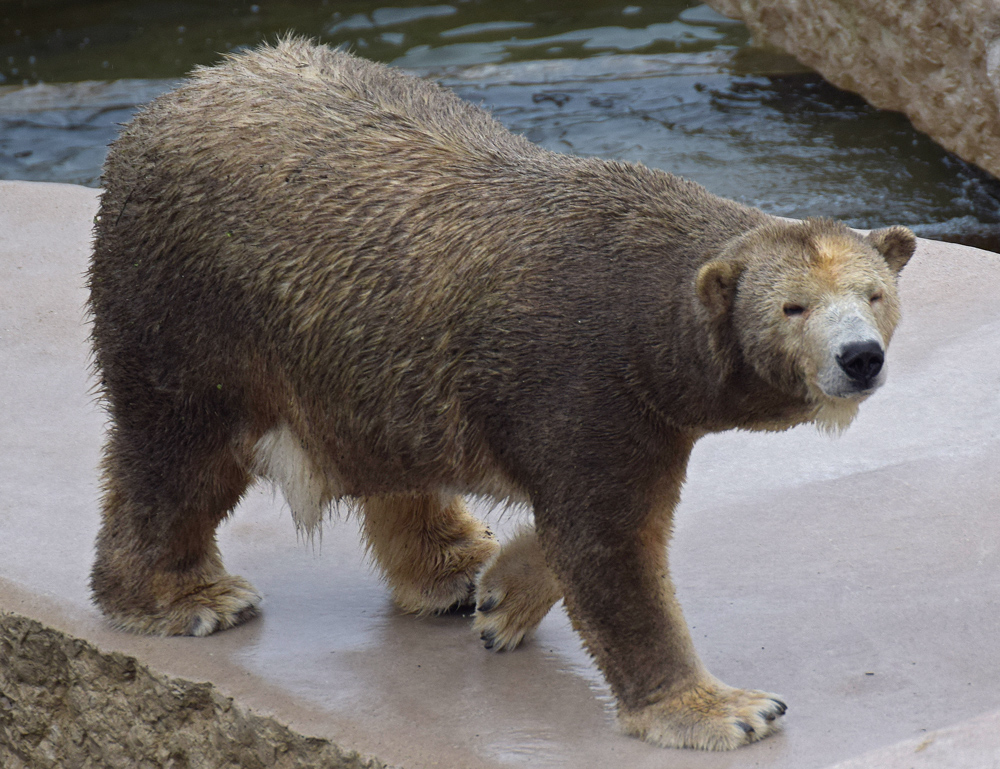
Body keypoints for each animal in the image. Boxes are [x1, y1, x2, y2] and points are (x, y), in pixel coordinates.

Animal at [86, 37, 916, 752]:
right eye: (794, 307)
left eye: (874, 293)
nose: (859, 358)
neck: (643, 300)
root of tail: (182, 91)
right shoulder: (586, 375)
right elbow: (610, 542)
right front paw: (725, 708)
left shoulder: (631, 403)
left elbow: (597, 521)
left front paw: (501, 594)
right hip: (189, 308)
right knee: (180, 453)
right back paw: (185, 597)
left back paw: (453, 566)